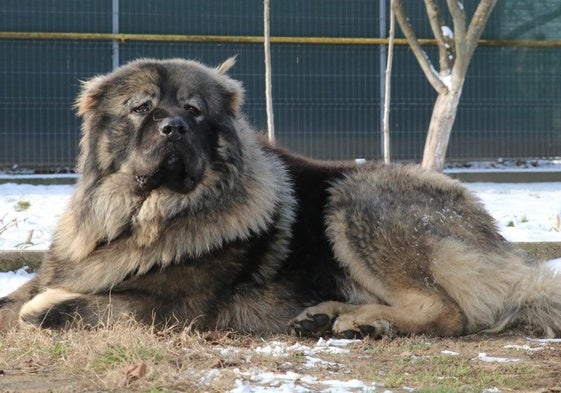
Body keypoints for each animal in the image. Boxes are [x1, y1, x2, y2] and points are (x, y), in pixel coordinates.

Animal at [1, 58, 560, 336]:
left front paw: (46, 307)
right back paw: (326, 316)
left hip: (354, 198)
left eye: (194, 110)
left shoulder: (174, 308)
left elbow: (58, 309)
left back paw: (361, 322)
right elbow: (17, 299)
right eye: (141, 108)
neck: (138, 216)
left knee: (448, 312)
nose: (174, 127)